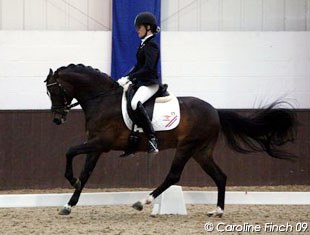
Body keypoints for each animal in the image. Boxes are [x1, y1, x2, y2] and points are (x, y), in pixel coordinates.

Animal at [44, 64, 296, 217]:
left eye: (54, 91)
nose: (57, 119)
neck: (102, 99)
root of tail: (215, 111)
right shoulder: (95, 145)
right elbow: (86, 173)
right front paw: (68, 204)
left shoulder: (102, 143)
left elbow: (69, 150)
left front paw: (71, 180)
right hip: (201, 151)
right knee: (220, 176)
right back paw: (217, 211)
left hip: (186, 147)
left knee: (174, 175)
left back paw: (143, 201)